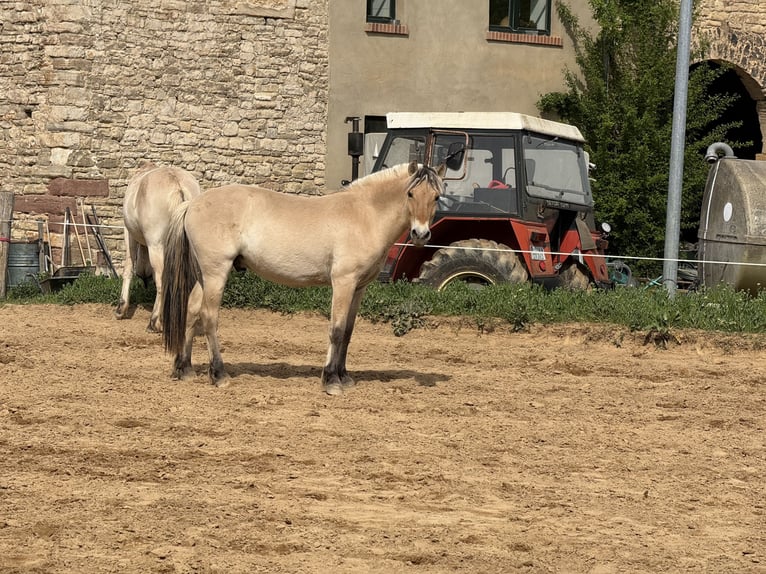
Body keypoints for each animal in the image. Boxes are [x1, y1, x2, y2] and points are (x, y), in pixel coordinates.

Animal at [115, 163, 202, 332]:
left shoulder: (129, 234)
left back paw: (154, 322)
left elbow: (128, 267)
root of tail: (177, 185)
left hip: (156, 245)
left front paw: (121, 308)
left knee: (162, 279)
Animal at [161, 161, 445, 395]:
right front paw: (331, 381)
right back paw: (219, 375)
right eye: (410, 194)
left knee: (191, 310)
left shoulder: (359, 287)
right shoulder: (343, 282)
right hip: (216, 272)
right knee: (209, 317)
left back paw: (184, 369)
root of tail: (192, 204)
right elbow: (337, 330)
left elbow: (349, 331)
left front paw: (344, 377)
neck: (365, 215)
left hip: (204, 275)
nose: (421, 234)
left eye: (436, 196)